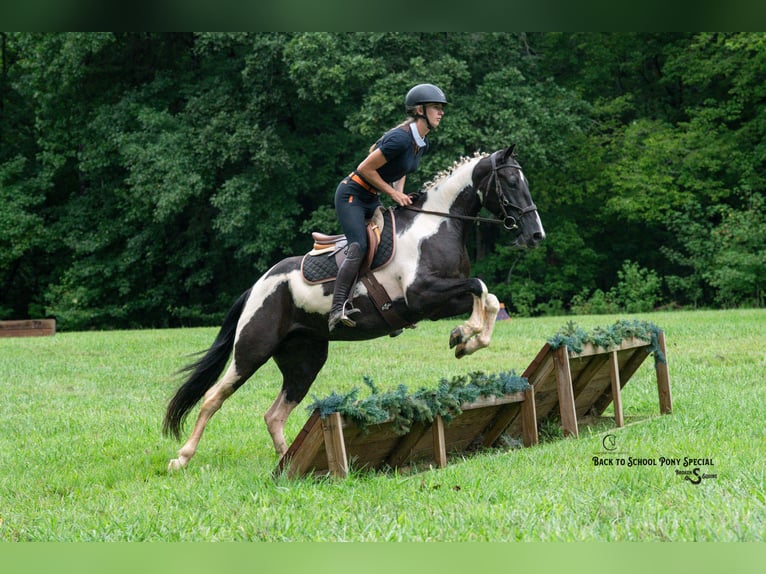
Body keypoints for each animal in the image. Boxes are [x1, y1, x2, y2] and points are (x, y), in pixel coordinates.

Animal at [163, 145, 545, 470]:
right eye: (512, 183)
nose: (536, 235)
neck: (437, 224)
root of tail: (257, 286)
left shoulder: (440, 300)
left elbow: (488, 297)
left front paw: (467, 339)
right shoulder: (422, 297)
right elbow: (480, 286)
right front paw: (464, 335)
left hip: (304, 357)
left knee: (275, 414)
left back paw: (288, 461)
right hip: (253, 349)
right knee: (213, 396)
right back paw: (181, 458)